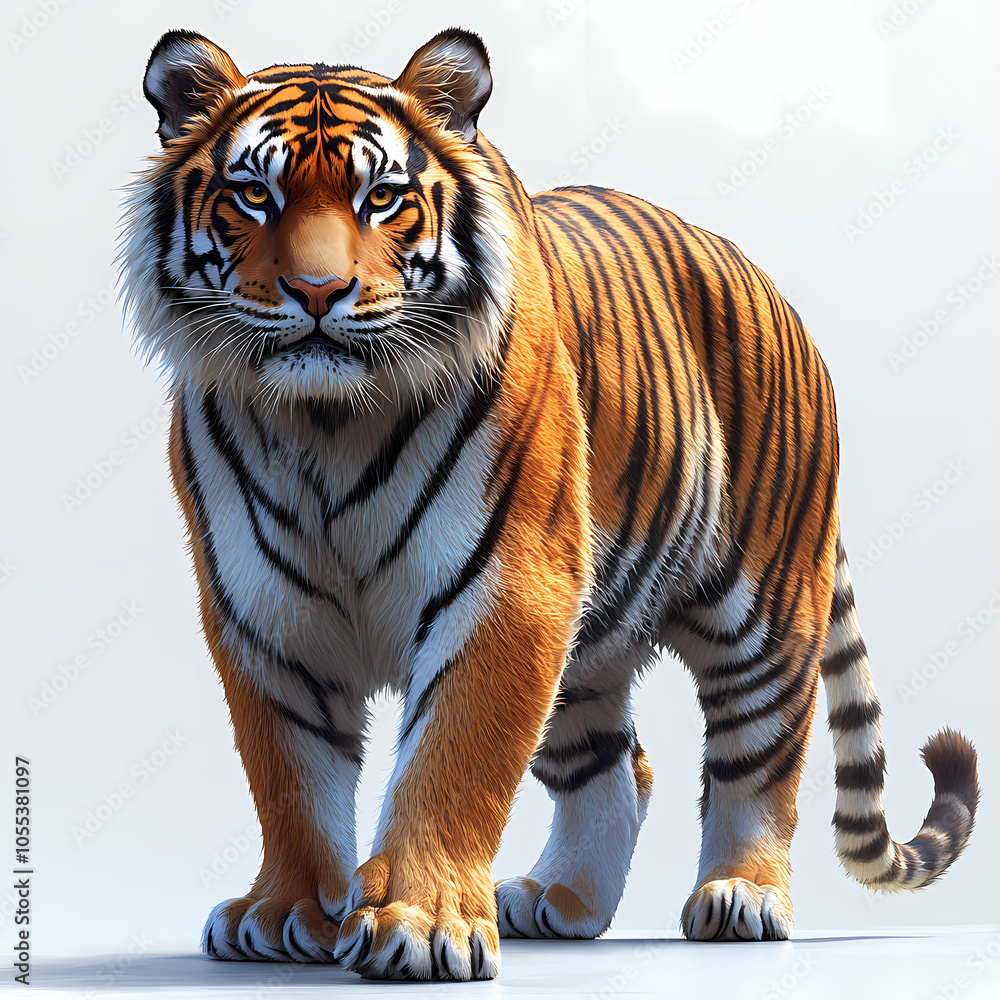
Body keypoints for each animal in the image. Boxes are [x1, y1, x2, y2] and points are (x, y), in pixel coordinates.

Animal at [119, 26, 979, 982]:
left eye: (382, 198)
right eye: (254, 194)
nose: (315, 293)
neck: (325, 424)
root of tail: (770, 286)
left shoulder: (505, 587)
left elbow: (452, 759)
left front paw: (423, 924)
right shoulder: (263, 611)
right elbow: (289, 775)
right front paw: (283, 913)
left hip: (763, 610)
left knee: (761, 755)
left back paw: (742, 894)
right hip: (586, 640)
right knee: (618, 769)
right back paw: (560, 898)